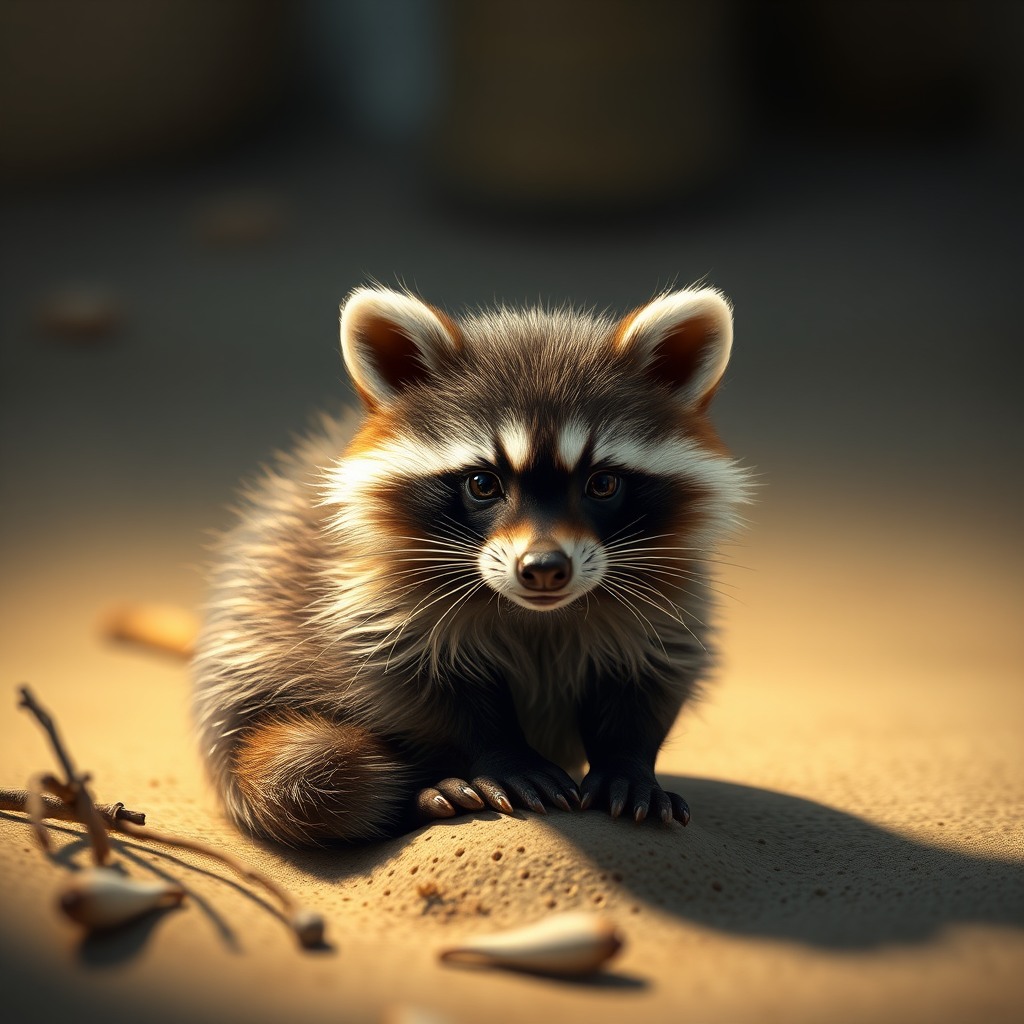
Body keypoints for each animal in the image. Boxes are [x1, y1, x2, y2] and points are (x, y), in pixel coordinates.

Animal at [193, 286, 751, 846]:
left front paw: (627, 764)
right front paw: (502, 757)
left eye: (603, 484)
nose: (544, 567)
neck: (538, 614)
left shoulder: (666, 598)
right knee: (305, 779)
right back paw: (418, 795)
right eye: (483, 484)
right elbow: (423, 689)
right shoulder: (370, 597)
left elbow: (651, 680)